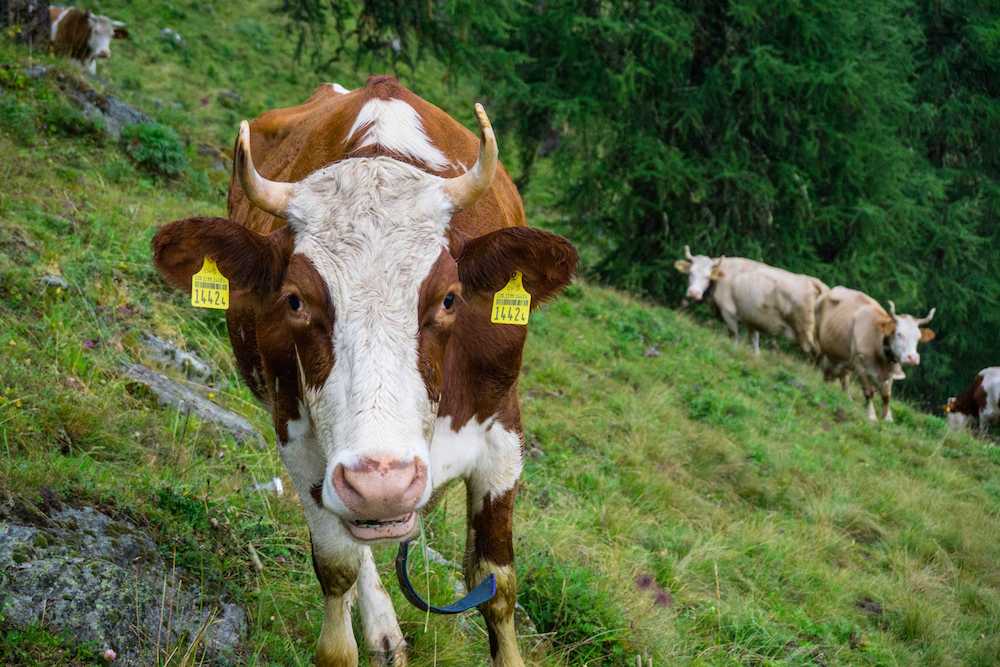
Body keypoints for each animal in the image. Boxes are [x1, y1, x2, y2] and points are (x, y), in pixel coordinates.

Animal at [150, 75, 580, 664]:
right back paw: (383, 630)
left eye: (449, 298)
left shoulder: (502, 435)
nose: (385, 483)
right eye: (294, 300)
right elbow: (338, 572)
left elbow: (496, 584)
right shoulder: (300, 442)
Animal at [676, 245, 832, 358]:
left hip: (808, 334)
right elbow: (755, 342)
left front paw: (733, 351)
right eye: (690, 273)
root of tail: (813, 281)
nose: (693, 293)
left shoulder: (729, 313)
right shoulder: (752, 318)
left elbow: (734, 336)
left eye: (708, 276)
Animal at [812, 288, 936, 422]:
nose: (912, 358)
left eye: (918, 337)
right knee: (823, 367)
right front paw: (871, 416)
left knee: (842, 376)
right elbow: (868, 392)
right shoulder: (860, 364)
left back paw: (846, 398)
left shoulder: (890, 371)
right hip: (820, 343)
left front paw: (887, 418)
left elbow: (886, 395)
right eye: (899, 333)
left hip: (844, 358)